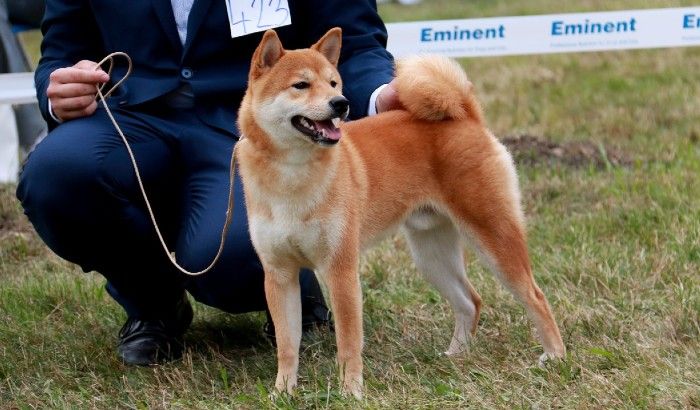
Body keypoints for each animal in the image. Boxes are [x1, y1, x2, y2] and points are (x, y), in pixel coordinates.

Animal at [238, 28, 568, 398]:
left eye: (334, 83)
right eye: (301, 85)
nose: (341, 103)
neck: (292, 174)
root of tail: (465, 115)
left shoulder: (341, 269)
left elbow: (348, 342)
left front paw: (351, 391)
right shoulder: (279, 274)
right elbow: (287, 344)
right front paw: (282, 392)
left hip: (493, 237)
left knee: (535, 296)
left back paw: (555, 356)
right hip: (430, 254)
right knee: (471, 301)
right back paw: (455, 355)